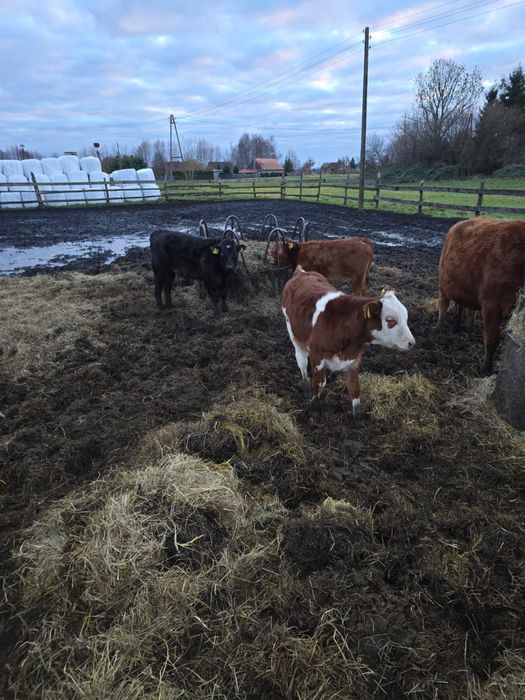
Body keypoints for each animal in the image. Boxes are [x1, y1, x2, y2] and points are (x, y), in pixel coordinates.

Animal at [282, 266, 415, 419]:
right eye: (390, 320)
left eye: (406, 317)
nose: (412, 342)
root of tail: (302, 272)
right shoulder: (317, 355)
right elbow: (319, 383)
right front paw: (314, 409)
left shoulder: (354, 359)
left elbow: (354, 388)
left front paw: (359, 417)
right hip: (294, 335)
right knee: (302, 362)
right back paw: (306, 388)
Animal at [436, 218, 525, 375]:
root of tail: (459, 223)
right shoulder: (491, 305)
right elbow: (492, 341)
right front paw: (485, 369)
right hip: (444, 284)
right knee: (443, 305)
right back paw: (439, 327)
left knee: (467, 310)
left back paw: (467, 329)